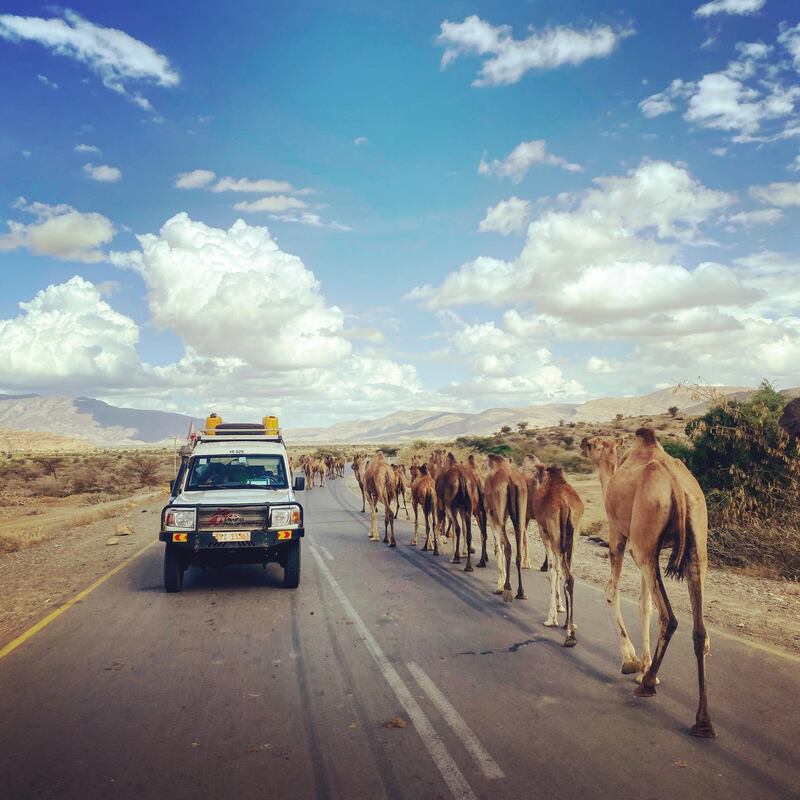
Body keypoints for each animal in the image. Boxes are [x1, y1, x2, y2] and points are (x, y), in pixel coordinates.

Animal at [484, 456, 528, 600]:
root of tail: (511, 480)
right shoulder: (505, 516)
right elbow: (501, 546)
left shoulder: (491, 515)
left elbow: (498, 548)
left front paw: (499, 585)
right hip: (520, 514)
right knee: (517, 549)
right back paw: (521, 592)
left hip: (498, 514)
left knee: (508, 546)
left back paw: (507, 588)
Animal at [532, 466, 580, 648]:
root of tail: (566, 506)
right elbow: (558, 570)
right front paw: (560, 609)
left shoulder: (544, 532)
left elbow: (552, 570)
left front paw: (552, 618)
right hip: (574, 535)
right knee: (569, 576)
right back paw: (570, 629)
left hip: (554, 534)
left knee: (563, 573)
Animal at [580, 432, 716, 736]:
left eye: (594, 443)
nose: (582, 442)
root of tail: (677, 486)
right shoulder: (646, 550)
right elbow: (645, 606)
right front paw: (643, 665)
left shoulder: (619, 535)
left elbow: (612, 593)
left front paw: (632, 664)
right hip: (695, 546)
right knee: (699, 629)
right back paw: (703, 722)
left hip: (644, 543)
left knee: (671, 617)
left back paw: (647, 684)